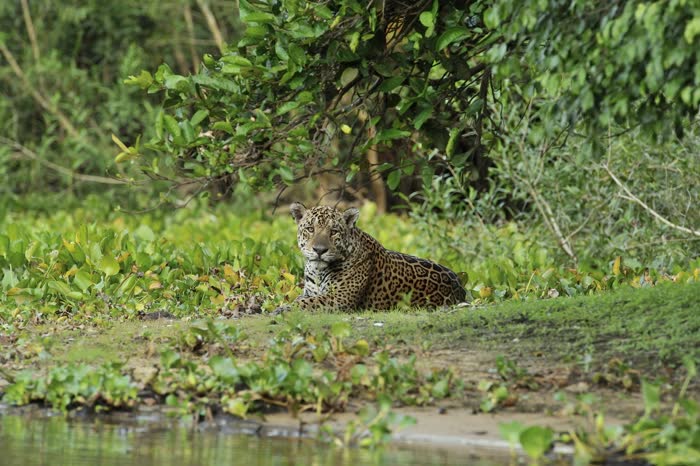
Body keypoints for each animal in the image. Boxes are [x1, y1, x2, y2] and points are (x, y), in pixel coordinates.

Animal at [275, 202, 468, 313]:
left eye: (334, 231)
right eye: (310, 229)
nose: (319, 250)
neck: (317, 271)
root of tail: (461, 287)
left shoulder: (339, 299)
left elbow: (308, 303)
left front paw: (282, 309)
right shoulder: (308, 292)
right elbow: (301, 299)